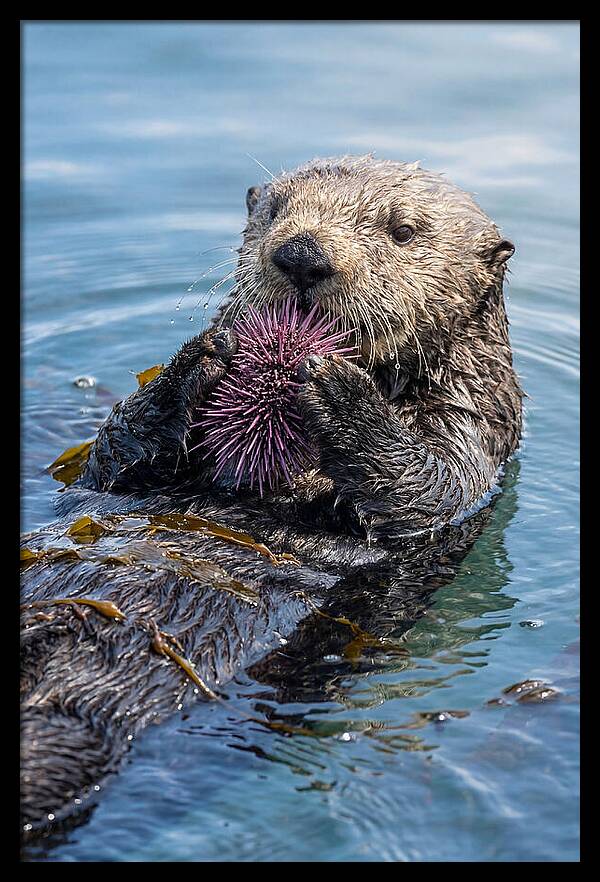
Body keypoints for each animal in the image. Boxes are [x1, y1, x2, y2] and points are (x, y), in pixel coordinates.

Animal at [21, 155, 522, 843]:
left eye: (402, 231)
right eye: (276, 210)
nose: (303, 255)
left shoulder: (475, 429)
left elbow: (428, 488)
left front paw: (340, 391)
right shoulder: (119, 473)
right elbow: (110, 461)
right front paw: (199, 359)